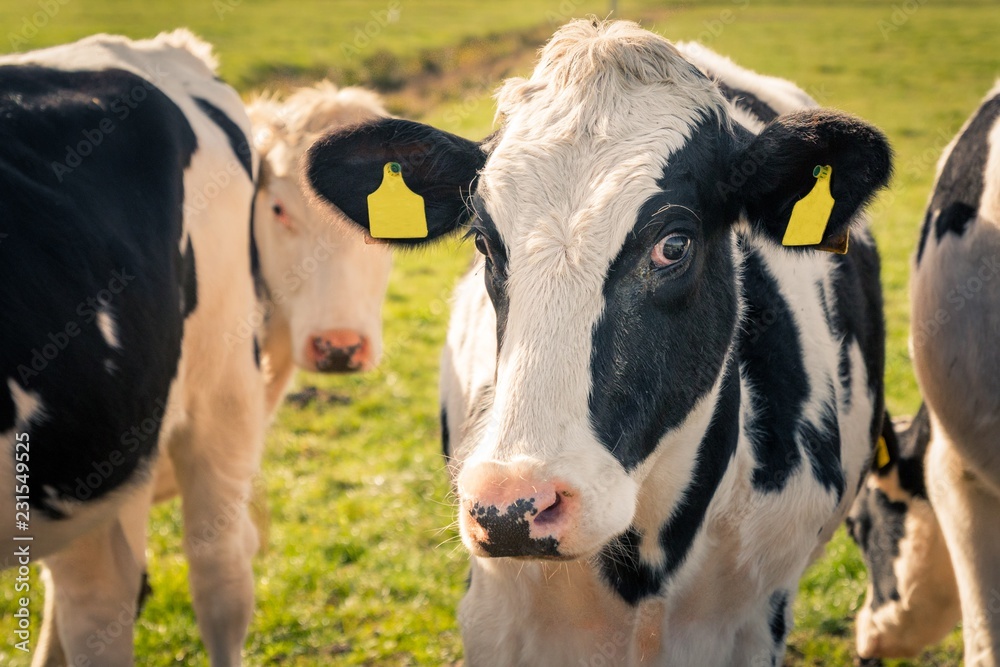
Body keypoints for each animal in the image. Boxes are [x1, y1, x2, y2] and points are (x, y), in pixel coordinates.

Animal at [304, 20, 892, 667]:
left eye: (674, 245)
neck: (645, 569)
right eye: (483, 241)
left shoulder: (753, 619)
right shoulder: (494, 618)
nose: (514, 505)